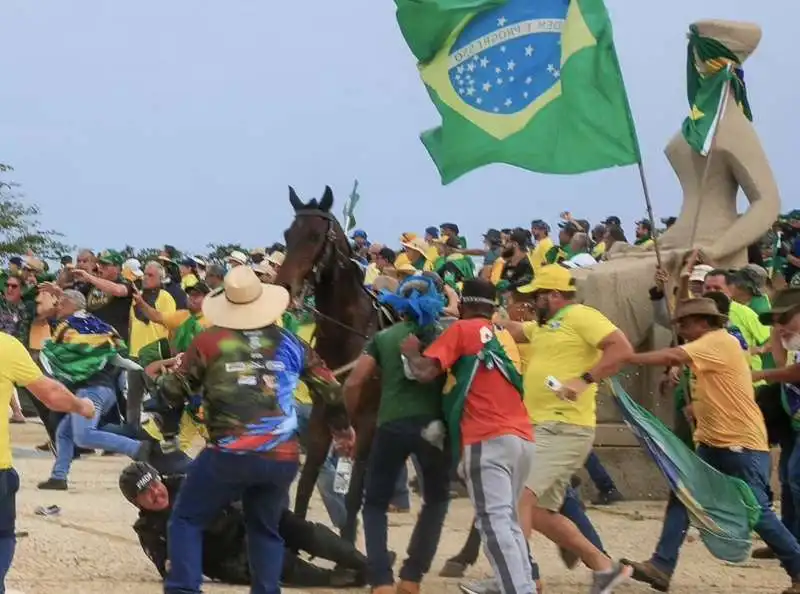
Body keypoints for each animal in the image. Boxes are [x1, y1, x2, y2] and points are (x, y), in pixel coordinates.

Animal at [276, 185, 382, 540]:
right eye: (288, 234)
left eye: (314, 236)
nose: (283, 287)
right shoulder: (323, 418)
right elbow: (306, 483)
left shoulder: (366, 424)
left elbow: (353, 494)